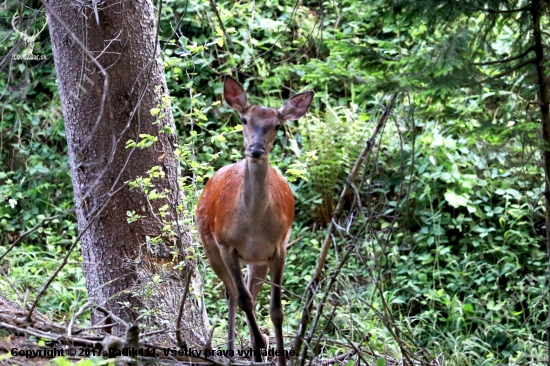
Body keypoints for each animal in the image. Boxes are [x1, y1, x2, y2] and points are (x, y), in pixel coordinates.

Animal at [196, 76, 312, 364]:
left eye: (277, 125)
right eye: (244, 119)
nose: (256, 150)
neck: (253, 227)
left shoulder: (279, 247)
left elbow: (277, 310)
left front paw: (277, 354)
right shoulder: (226, 244)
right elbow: (243, 299)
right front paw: (260, 342)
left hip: (257, 260)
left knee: (249, 292)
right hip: (210, 246)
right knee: (233, 294)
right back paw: (233, 350)